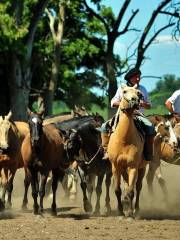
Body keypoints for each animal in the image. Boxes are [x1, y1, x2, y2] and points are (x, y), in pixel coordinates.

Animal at [107, 85, 146, 219]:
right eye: (124, 91)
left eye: (139, 93)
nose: (135, 101)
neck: (124, 139)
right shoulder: (115, 166)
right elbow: (118, 190)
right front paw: (120, 213)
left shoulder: (133, 167)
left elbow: (131, 191)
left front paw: (129, 214)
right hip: (123, 170)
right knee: (126, 185)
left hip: (142, 167)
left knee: (138, 187)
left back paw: (137, 210)